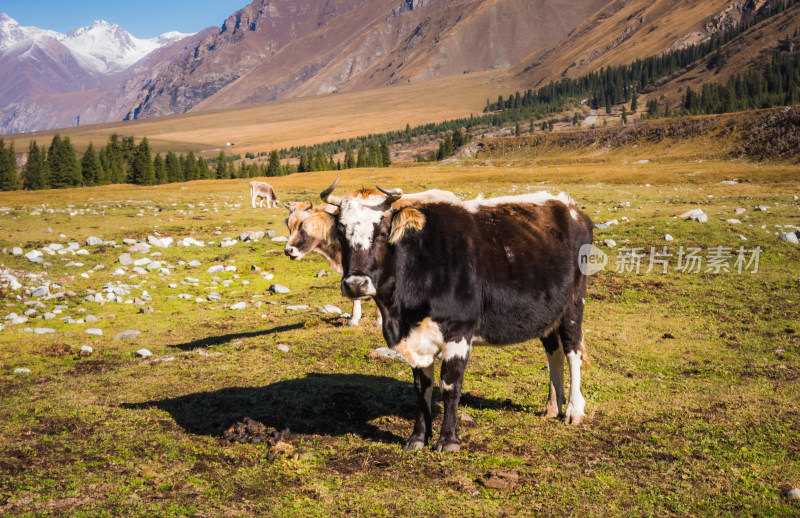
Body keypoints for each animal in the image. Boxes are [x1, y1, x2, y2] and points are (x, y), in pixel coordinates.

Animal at [320, 181, 592, 452]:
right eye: (341, 233)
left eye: (382, 232)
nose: (355, 284)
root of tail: (568, 206)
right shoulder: (416, 338)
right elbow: (422, 388)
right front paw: (417, 438)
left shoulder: (459, 330)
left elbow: (450, 384)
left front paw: (448, 440)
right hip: (549, 314)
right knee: (554, 353)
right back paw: (552, 407)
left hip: (573, 305)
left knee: (572, 352)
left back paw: (573, 410)